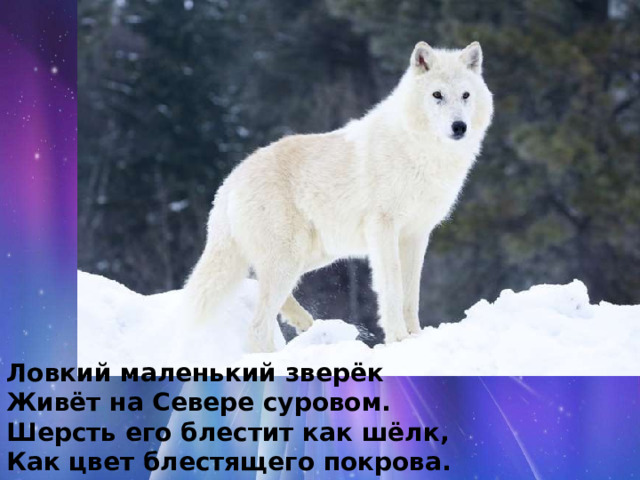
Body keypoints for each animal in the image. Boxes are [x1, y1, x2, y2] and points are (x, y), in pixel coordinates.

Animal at [184, 41, 494, 352]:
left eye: (465, 95)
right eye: (437, 95)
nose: (459, 126)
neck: (421, 151)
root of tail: (229, 181)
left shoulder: (417, 235)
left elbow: (411, 294)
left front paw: (416, 336)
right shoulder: (383, 228)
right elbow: (392, 288)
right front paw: (398, 339)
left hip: (312, 257)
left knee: (258, 285)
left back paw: (304, 322)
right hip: (289, 260)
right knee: (257, 327)